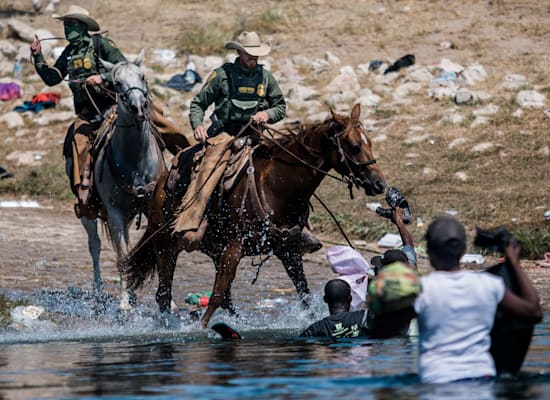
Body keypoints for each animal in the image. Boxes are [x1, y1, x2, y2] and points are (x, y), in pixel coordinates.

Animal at [81, 50, 165, 310]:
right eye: (117, 83)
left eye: (142, 76)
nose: (139, 107)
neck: (136, 162)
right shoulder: (115, 213)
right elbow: (122, 256)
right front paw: (124, 303)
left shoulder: (152, 208)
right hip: (88, 212)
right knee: (95, 246)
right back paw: (100, 291)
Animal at [121, 104, 388, 328]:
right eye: (354, 146)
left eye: (369, 143)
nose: (379, 184)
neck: (276, 186)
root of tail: (160, 183)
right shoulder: (234, 248)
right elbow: (216, 295)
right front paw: (200, 329)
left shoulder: (288, 250)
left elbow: (303, 292)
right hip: (166, 246)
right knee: (164, 293)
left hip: (213, 249)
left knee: (223, 297)